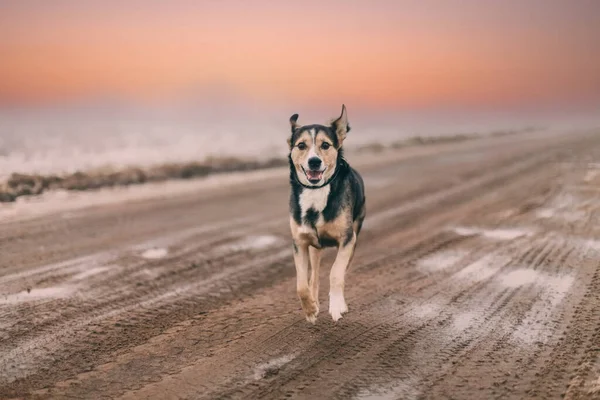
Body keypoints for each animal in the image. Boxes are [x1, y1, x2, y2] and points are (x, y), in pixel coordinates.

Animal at [288, 104, 366, 324]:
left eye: (325, 145)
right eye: (301, 145)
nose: (314, 162)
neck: (316, 192)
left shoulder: (347, 239)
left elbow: (335, 273)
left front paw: (337, 306)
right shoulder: (300, 242)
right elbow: (301, 284)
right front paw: (310, 310)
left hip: (354, 237)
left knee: (342, 271)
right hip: (315, 248)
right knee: (313, 277)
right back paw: (314, 301)